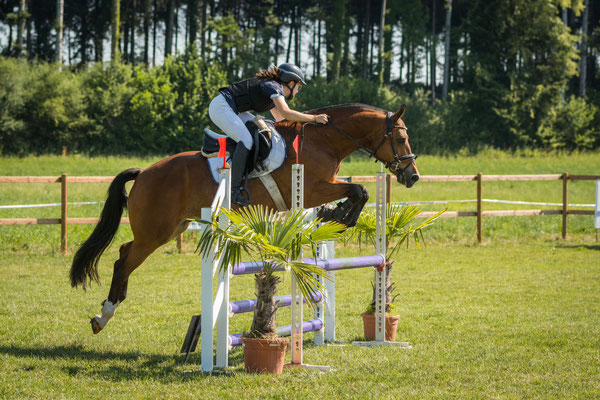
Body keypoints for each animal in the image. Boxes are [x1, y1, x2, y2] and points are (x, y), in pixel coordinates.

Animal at [69, 101, 418, 332]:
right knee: (123, 260)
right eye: (401, 139)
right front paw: (341, 216)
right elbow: (360, 190)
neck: (324, 140)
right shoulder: (312, 188)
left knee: (125, 254)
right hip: (155, 232)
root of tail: (143, 173)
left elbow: (357, 192)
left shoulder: (322, 187)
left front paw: (335, 215)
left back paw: (109, 308)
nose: (412, 176)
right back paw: (103, 316)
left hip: (172, 228)